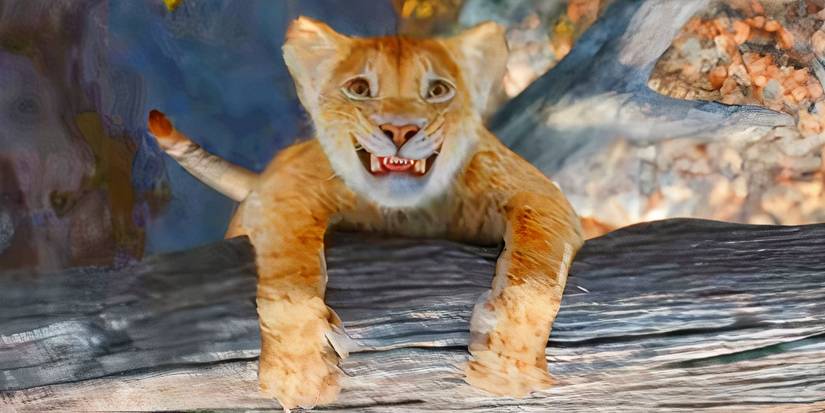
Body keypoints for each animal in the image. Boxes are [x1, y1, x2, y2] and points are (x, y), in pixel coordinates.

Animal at [147, 16, 583, 411]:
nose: (400, 131)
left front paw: (507, 366)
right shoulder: (284, 192)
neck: (405, 212)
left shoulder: (539, 193)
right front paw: (299, 375)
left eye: (438, 90)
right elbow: (288, 283)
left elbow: (535, 278)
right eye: (359, 89)